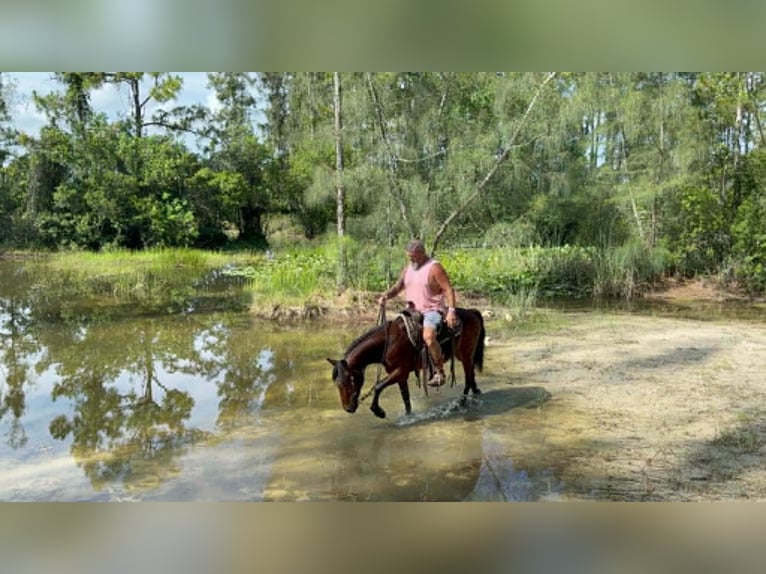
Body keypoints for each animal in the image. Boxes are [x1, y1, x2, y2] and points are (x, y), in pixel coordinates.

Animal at [327, 308, 485, 419]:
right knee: (471, 375)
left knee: (468, 378)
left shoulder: (400, 371)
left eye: (349, 381)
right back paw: (475, 393)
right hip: (464, 355)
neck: (388, 342)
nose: (348, 408)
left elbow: (378, 386)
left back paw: (461, 403)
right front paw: (409, 416)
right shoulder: (401, 377)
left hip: (466, 355)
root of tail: (471, 312)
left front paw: (378, 411)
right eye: (337, 383)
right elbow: (406, 399)